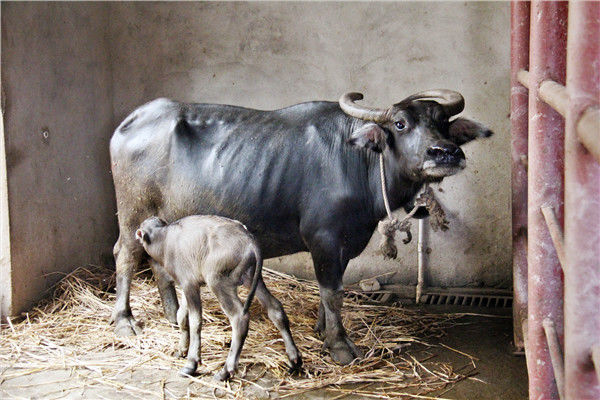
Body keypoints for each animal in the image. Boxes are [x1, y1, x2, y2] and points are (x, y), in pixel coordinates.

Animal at [138, 214, 302, 380]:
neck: (164, 240)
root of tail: (249, 240)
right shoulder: (186, 285)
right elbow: (181, 316)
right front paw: (181, 350)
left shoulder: (189, 284)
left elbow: (195, 321)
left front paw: (191, 363)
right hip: (251, 278)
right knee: (275, 308)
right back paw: (294, 359)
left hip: (218, 281)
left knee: (239, 318)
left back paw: (226, 370)